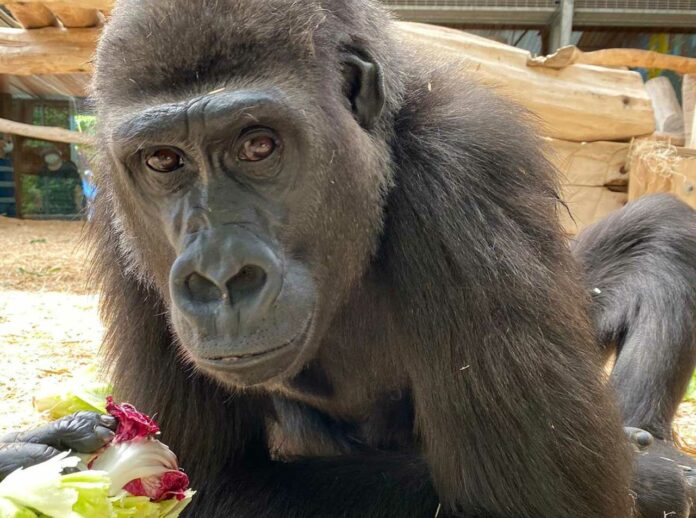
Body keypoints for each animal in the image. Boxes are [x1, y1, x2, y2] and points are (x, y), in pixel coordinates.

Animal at [1, 1, 696, 518]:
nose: (220, 276)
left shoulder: (466, 166)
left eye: (259, 145)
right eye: (163, 161)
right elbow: (212, 478)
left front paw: (653, 473)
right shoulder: (117, 216)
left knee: (665, 235)